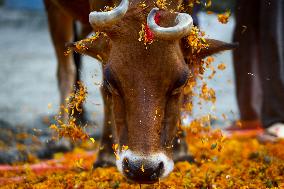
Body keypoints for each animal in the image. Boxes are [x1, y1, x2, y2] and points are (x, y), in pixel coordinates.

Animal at [44, 0, 235, 184]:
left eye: (181, 81)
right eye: (110, 80)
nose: (143, 169)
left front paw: (182, 151)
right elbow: (104, 92)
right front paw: (105, 156)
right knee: (66, 70)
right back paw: (63, 140)